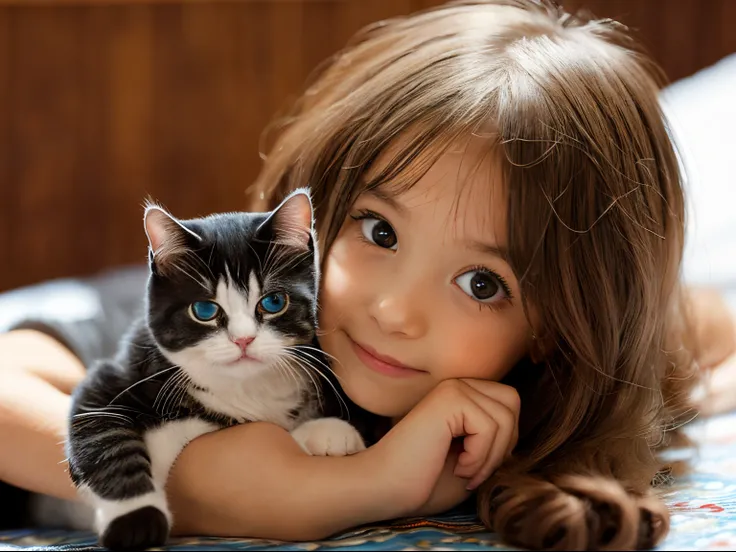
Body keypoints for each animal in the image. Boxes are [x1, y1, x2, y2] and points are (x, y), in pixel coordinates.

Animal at [67, 189, 366, 548]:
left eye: (274, 302)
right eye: (205, 310)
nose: (243, 339)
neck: (241, 385)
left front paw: (328, 430)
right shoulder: (114, 376)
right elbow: (103, 435)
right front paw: (137, 521)